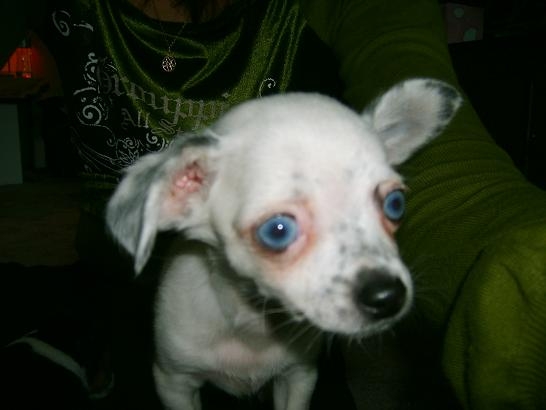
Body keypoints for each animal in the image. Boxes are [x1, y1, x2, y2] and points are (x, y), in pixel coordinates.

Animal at [106, 78, 461, 410]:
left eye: (396, 204)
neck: (252, 324)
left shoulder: (299, 376)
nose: (387, 296)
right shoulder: (173, 382)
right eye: (277, 231)